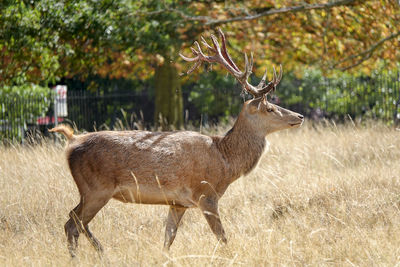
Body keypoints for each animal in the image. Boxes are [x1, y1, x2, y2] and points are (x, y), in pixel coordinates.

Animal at [50, 28, 304, 258]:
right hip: (95, 188)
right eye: (269, 108)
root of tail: (73, 141)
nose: (299, 116)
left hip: (91, 191)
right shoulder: (205, 195)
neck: (225, 161)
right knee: (73, 222)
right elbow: (222, 237)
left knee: (74, 221)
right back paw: (90, 255)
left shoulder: (178, 203)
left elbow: (168, 238)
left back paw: (98, 252)